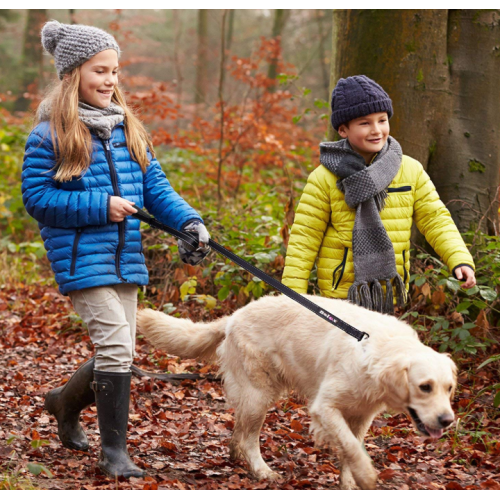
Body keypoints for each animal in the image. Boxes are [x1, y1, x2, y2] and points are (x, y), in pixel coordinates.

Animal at [137, 294, 458, 490]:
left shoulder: (361, 416)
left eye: (449, 388)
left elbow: (351, 449)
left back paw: (237, 456)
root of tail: (234, 316)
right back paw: (262, 471)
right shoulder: (325, 407)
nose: (447, 421)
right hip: (259, 395)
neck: (375, 351)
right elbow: (350, 446)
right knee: (250, 439)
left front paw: (349, 482)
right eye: (425, 387)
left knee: (239, 431)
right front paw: (366, 476)